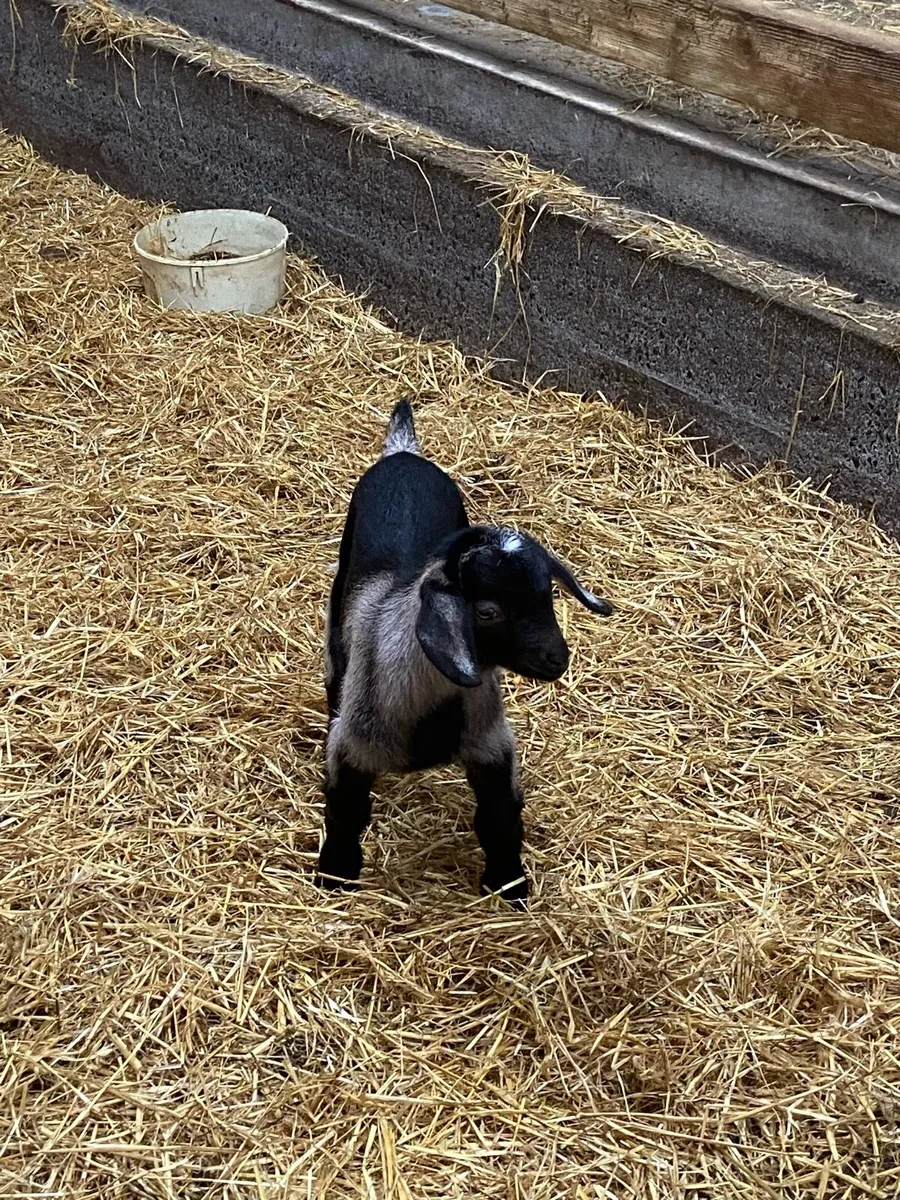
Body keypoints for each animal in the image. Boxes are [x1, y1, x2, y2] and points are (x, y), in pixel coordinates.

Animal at [317, 400, 612, 905]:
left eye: (547, 595)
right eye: (489, 611)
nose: (558, 659)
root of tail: (404, 455)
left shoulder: (491, 745)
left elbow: (500, 819)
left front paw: (509, 886)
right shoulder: (353, 748)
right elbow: (346, 814)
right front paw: (334, 876)